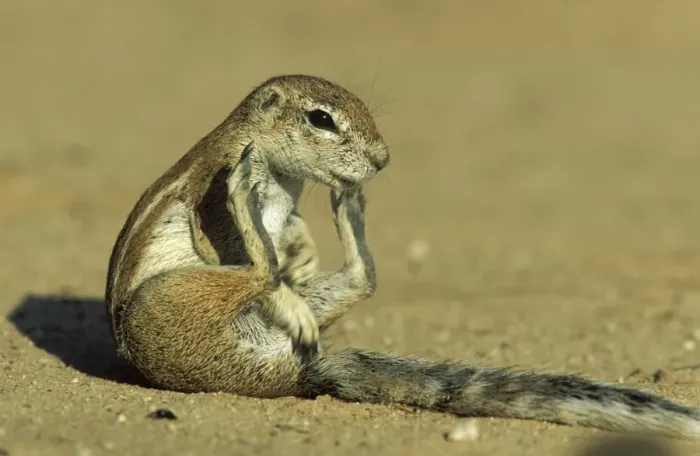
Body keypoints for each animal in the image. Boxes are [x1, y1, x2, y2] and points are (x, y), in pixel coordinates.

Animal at [106, 74, 700, 439]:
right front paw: (280, 260)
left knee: (360, 279)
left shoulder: (288, 207)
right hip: (167, 302)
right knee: (256, 271)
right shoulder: (213, 195)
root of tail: (289, 376)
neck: (281, 174)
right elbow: (233, 243)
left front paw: (303, 254)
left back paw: (348, 211)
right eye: (321, 119)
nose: (382, 160)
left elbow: (293, 235)